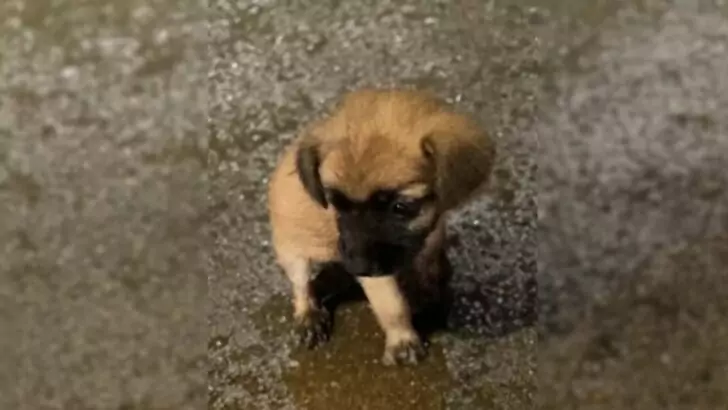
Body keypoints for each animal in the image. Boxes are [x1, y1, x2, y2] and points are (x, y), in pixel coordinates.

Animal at [268, 89, 494, 366]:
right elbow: (392, 305)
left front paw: (430, 286)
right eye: (335, 203)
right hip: (293, 252)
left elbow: (429, 263)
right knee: (301, 286)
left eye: (400, 207)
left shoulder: (429, 236)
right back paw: (309, 315)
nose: (356, 266)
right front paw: (403, 340)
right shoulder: (378, 273)